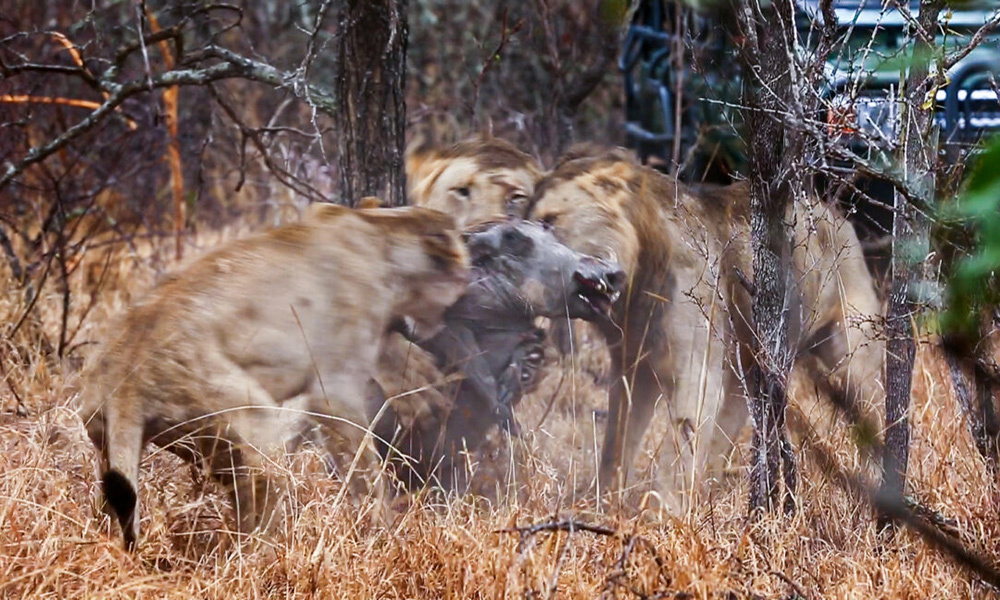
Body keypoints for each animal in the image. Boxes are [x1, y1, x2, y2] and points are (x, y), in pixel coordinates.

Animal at [78, 203, 468, 548]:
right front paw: (382, 531)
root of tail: (125, 383)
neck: (378, 232)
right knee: (255, 525)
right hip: (257, 429)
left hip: (115, 443)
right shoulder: (335, 387)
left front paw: (425, 391)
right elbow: (363, 468)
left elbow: (395, 353)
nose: (467, 277)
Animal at [524, 145, 884, 510]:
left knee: (877, 413)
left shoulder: (697, 372)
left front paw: (664, 512)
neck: (630, 292)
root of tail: (838, 215)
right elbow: (618, 440)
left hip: (853, 359)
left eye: (549, 220)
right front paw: (602, 501)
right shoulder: (633, 368)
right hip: (748, 367)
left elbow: (679, 451)